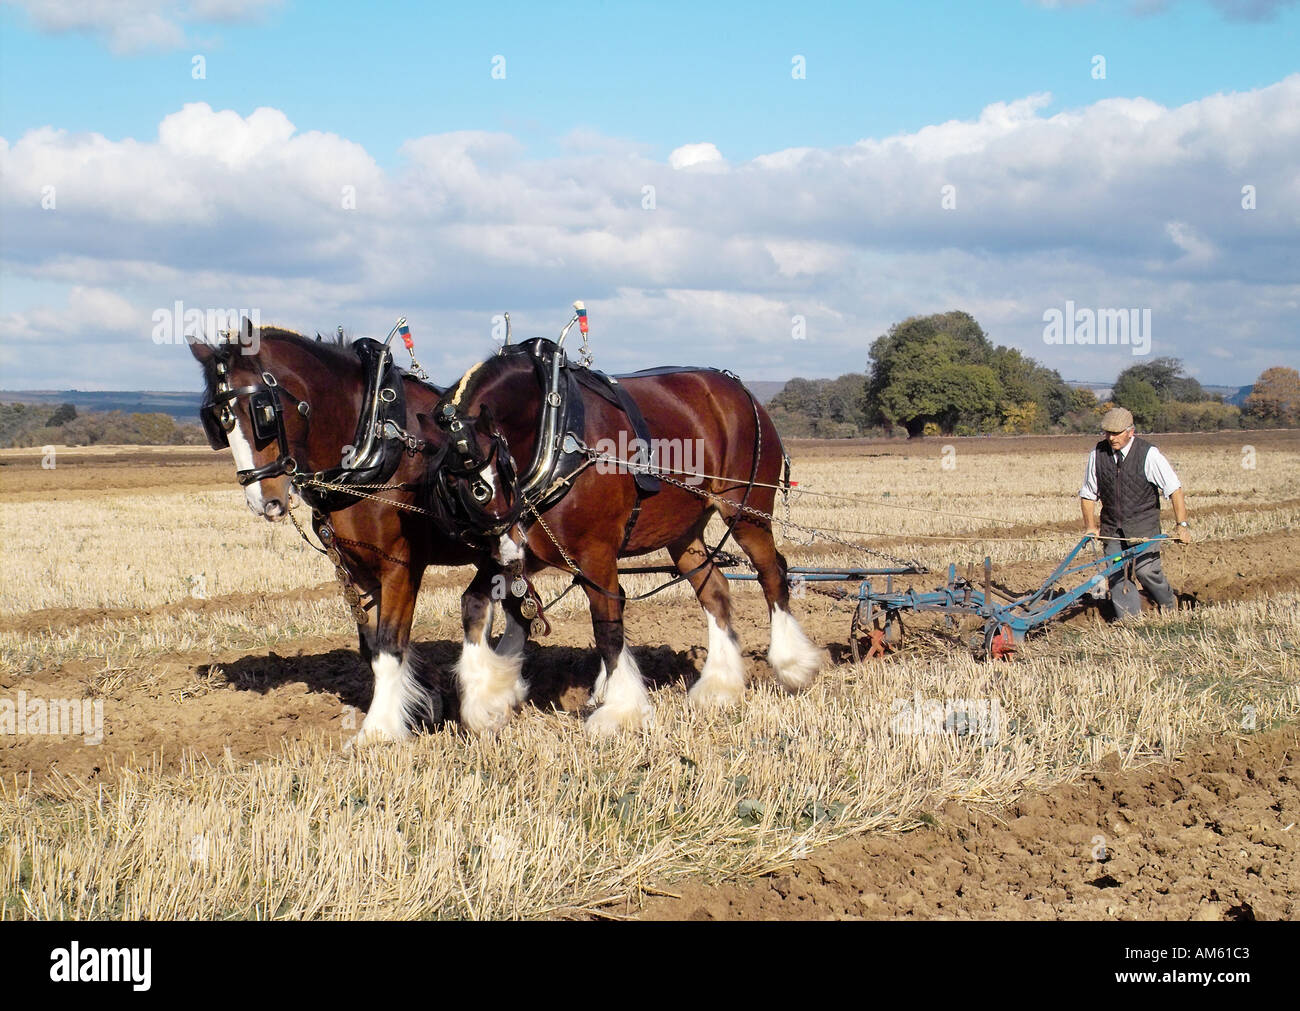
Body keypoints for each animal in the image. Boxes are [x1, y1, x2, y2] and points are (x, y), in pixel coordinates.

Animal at [189, 320, 533, 744]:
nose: (262, 501)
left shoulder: (400, 566)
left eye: (262, 412)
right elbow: (370, 645)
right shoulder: (354, 569)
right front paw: (422, 703)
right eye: (219, 421)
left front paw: (377, 731)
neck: (377, 446)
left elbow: (389, 645)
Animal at [423, 337, 826, 736]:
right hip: (684, 533)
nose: (505, 550)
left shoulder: (595, 554)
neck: (553, 429)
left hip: (747, 511)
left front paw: (620, 710)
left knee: (772, 574)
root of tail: (740, 389)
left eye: (486, 485)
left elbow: (607, 628)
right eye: (453, 487)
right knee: (714, 591)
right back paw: (719, 686)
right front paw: (485, 702)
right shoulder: (534, 551)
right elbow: (473, 604)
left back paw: (792, 665)